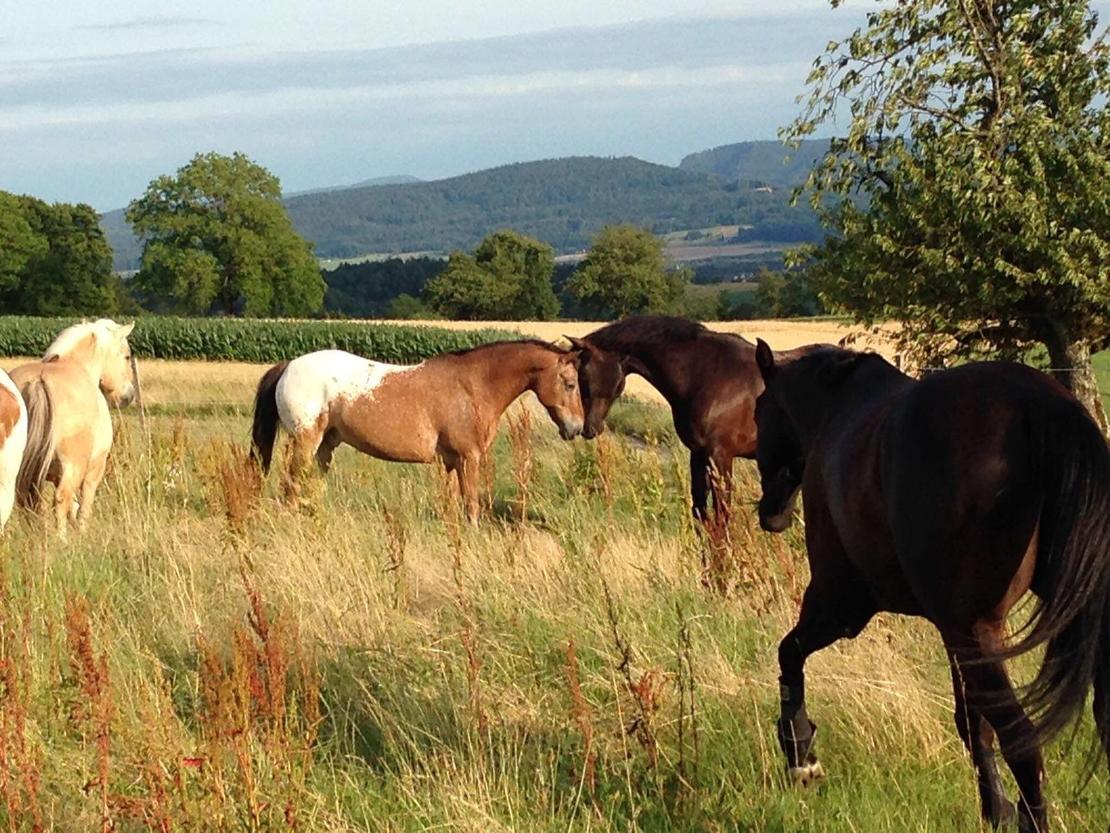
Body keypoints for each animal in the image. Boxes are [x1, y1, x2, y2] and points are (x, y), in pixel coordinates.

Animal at [11, 319, 136, 538]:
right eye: (127, 356)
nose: (128, 397)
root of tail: (38, 380)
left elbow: (73, 507)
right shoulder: (93, 471)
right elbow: (82, 506)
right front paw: (82, 534)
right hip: (73, 468)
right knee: (60, 499)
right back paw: (62, 540)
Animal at [251, 340, 585, 521]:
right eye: (570, 383)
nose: (577, 428)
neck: (473, 386)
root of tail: (288, 366)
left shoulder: (451, 461)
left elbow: (453, 504)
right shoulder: (469, 458)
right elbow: (471, 503)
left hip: (326, 445)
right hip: (305, 442)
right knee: (290, 487)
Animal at [566, 316, 819, 521]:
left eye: (584, 374)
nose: (587, 427)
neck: (707, 374)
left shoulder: (720, 456)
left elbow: (721, 516)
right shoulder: (698, 454)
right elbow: (700, 514)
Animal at [752, 340, 1109, 832]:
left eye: (756, 411)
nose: (770, 513)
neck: (835, 408)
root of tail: (1038, 405)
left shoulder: (840, 605)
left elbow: (789, 652)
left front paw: (800, 753)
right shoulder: (954, 634)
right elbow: (972, 724)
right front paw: (994, 810)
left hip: (971, 630)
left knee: (1022, 740)